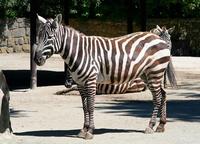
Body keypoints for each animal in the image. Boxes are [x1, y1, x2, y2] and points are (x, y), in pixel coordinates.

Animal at [34, 14, 177, 139]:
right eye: (38, 37)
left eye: (50, 37)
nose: (36, 59)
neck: (79, 52)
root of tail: (158, 38)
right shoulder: (80, 84)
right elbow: (84, 106)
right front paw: (83, 129)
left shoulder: (91, 81)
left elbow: (90, 105)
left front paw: (90, 131)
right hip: (146, 74)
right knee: (163, 94)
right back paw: (161, 125)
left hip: (155, 72)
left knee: (157, 98)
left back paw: (150, 126)